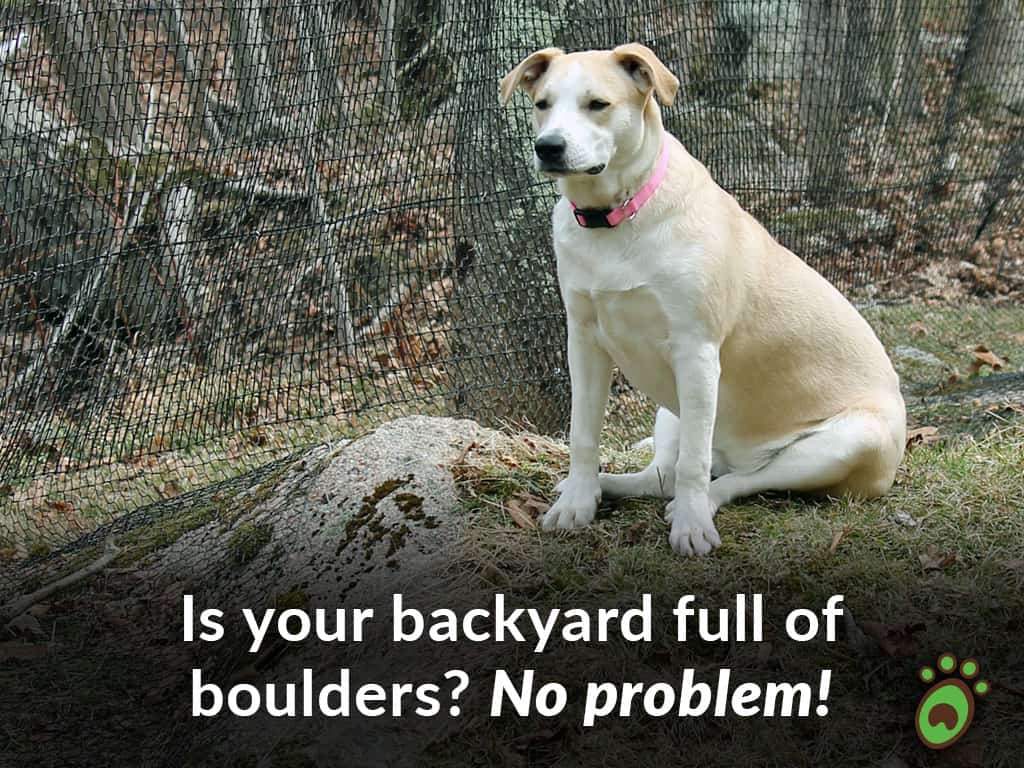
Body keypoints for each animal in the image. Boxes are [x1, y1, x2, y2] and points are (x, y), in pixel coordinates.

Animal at [499, 43, 909, 561]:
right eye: (542, 104)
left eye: (598, 104)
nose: (548, 146)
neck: (619, 218)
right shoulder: (585, 344)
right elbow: (582, 434)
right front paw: (577, 502)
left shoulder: (695, 353)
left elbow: (693, 464)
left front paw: (691, 526)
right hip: (668, 413)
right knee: (661, 477)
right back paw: (607, 485)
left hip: (849, 441)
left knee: (736, 479)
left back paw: (696, 504)